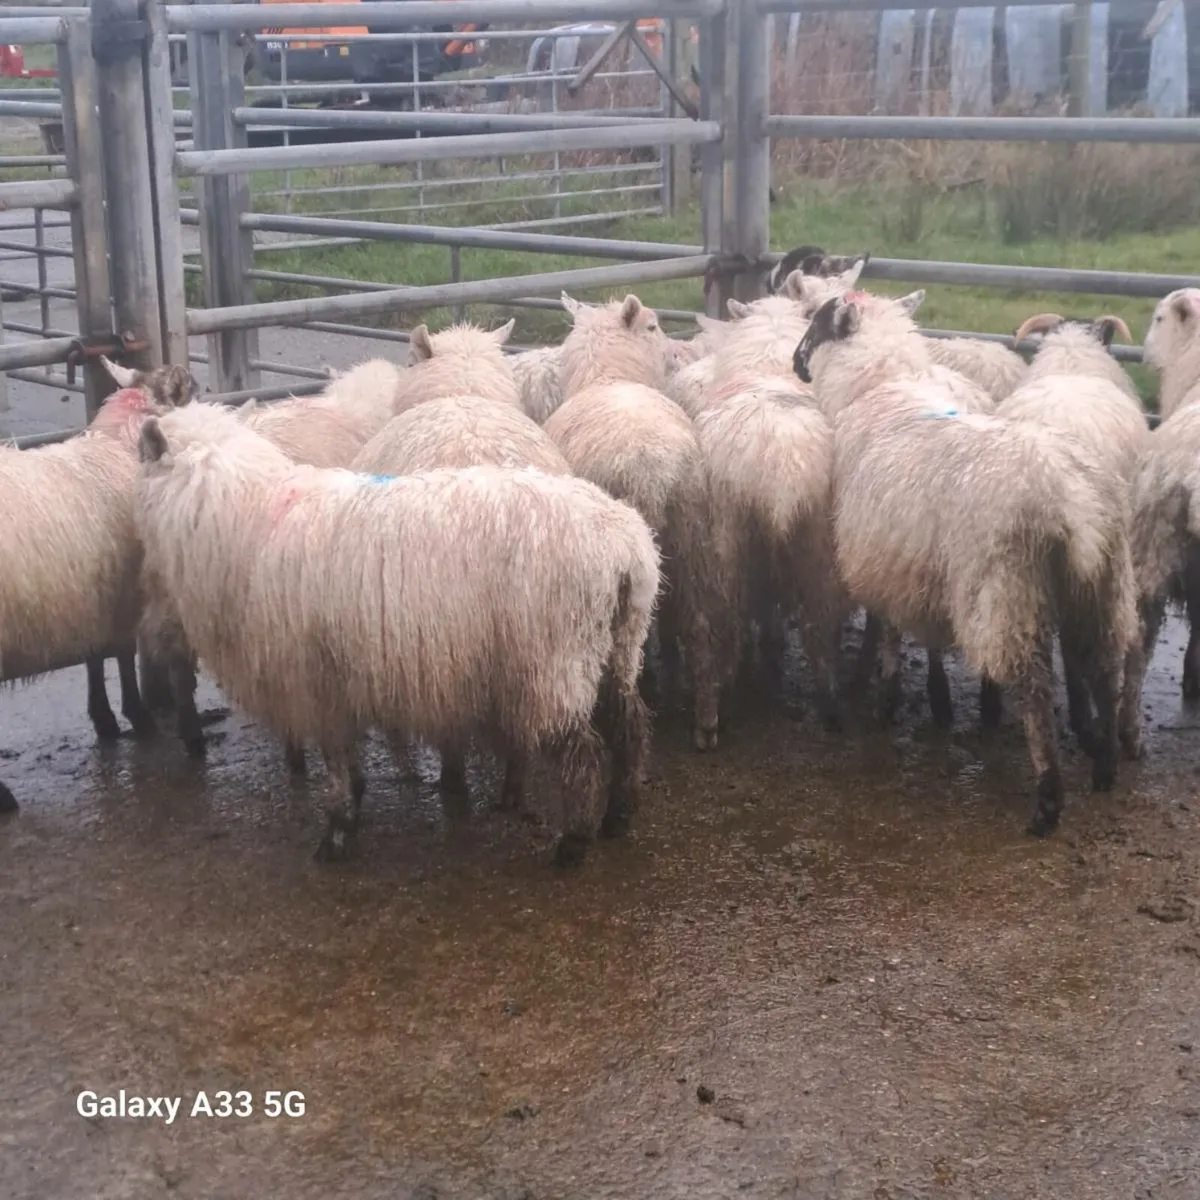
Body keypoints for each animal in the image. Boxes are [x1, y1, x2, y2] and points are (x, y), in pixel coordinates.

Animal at [0, 375, 193, 809]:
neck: (116, 444)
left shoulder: (94, 590)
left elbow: (93, 655)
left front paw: (105, 719)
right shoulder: (124, 589)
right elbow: (120, 652)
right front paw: (136, 716)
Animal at [134, 402, 660, 866]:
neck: (246, 522)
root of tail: (625, 547)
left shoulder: (316, 682)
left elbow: (336, 761)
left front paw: (336, 834)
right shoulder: (338, 679)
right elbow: (347, 758)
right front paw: (354, 805)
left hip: (555, 658)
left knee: (583, 751)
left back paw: (574, 843)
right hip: (618, 644)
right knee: (631, 725)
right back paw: (619, 815)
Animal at [547, 291, 720, 748]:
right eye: (654, 326)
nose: (676, 352)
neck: (607, 377)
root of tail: (650, 468)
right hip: (691, 534)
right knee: (698, 623)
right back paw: (705, 723)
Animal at [794, 290, 1137, 836]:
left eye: (819, 322)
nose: (795, 362)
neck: (879, 390)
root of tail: (1074, 502)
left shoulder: (887, 561)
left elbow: (889, 635)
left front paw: (886, 702)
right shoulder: (921, 566)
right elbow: (929, 641)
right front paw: (944, 703)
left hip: (1008, 582)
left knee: (1036, 689)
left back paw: (1047, 802)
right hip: (1102, 584)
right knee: (1104, 668)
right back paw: (1104, 767)